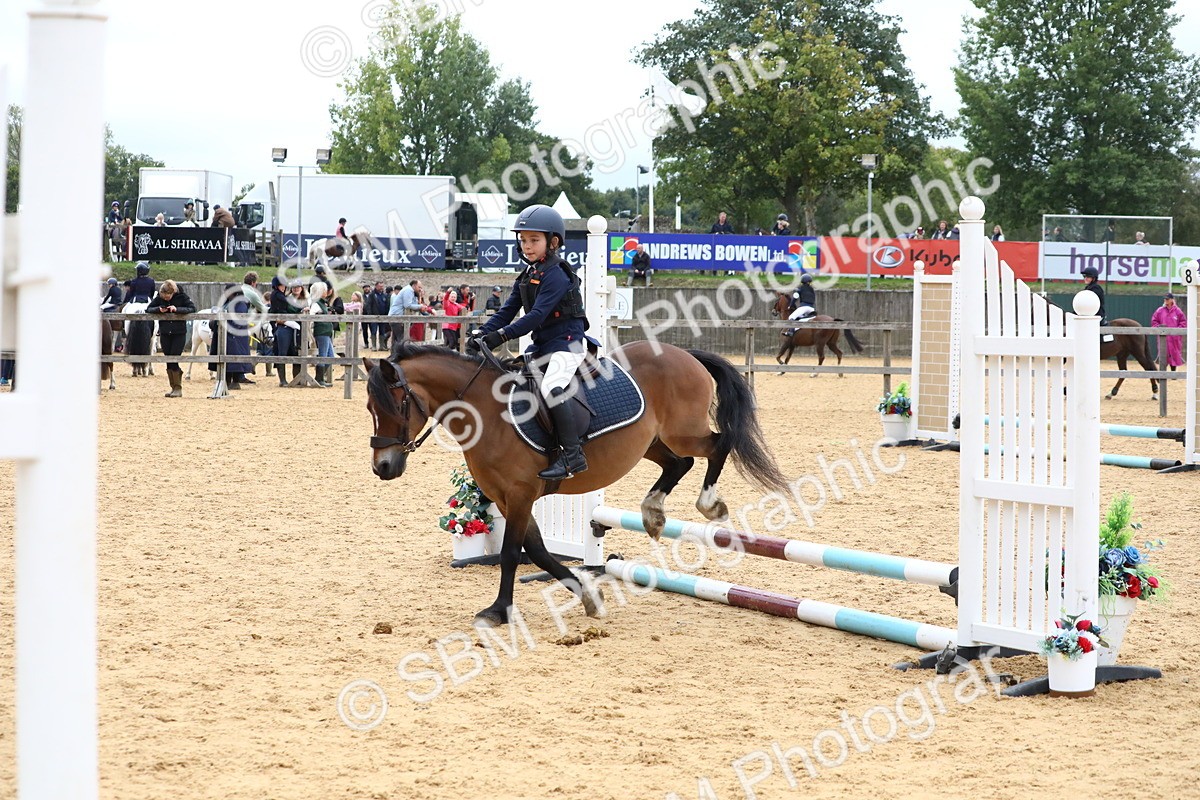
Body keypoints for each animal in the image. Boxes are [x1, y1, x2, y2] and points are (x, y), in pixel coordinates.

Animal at [363, 341, 790, 627]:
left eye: (396, 405)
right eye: (370, 408)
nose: (383, 467)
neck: (487, 410)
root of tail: (683, 353)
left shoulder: (520, 494)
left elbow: (510, 554)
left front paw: (499, 611)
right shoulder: (507, 498)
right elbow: (536, 551)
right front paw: (589, 595)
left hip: (683, 432)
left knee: (719, 444)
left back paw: (709, 503)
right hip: (651, 443)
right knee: (680, 463)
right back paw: (652, 512)